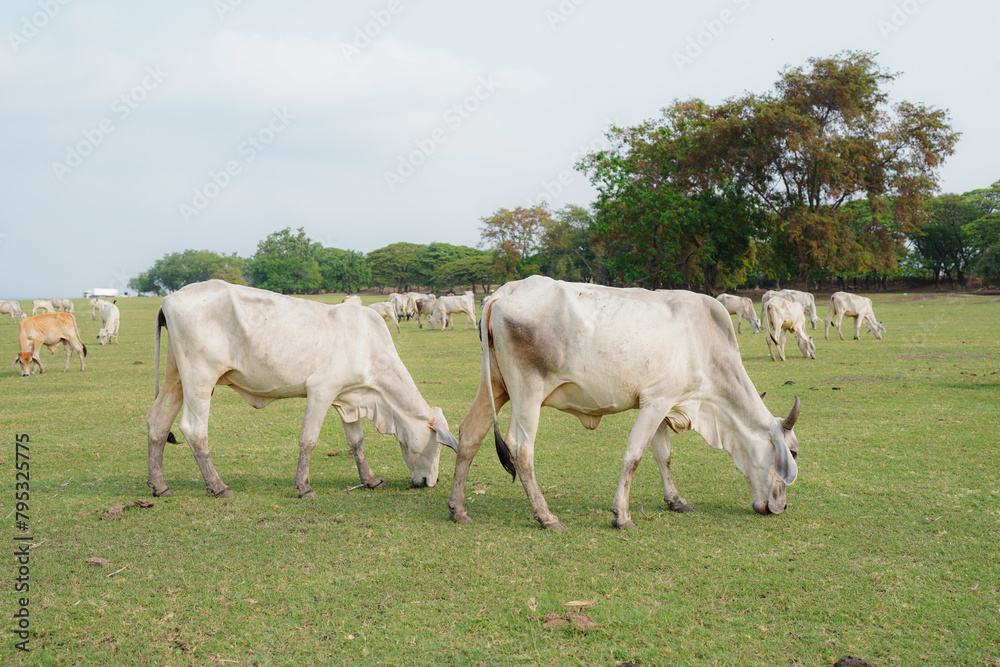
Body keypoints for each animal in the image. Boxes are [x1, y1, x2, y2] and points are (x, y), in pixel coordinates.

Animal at [145, 280, 458, 500]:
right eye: (438, 446)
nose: (431, 482)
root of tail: (169, 299)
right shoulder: (321, 391)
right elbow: (308, 440)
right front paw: (304, 487)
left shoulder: (347, 397)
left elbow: (357, 442)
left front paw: (370, 480)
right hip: (200, 379)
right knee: (194, 430)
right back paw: (218, 486)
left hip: (177, 378)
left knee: (158, 422)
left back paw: (159, 486)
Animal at [447, 276, 800, 531]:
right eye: (793, 453)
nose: (782, 507)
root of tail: (502, 293)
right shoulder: (656, 402)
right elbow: (634, 456)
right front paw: (622, 516)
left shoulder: (662, 404)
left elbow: (663, 456)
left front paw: (675, 500)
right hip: (527, 391)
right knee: (521, 448)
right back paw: (546, 516)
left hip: (495, 386)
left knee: (470, 433)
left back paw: (458, 509)